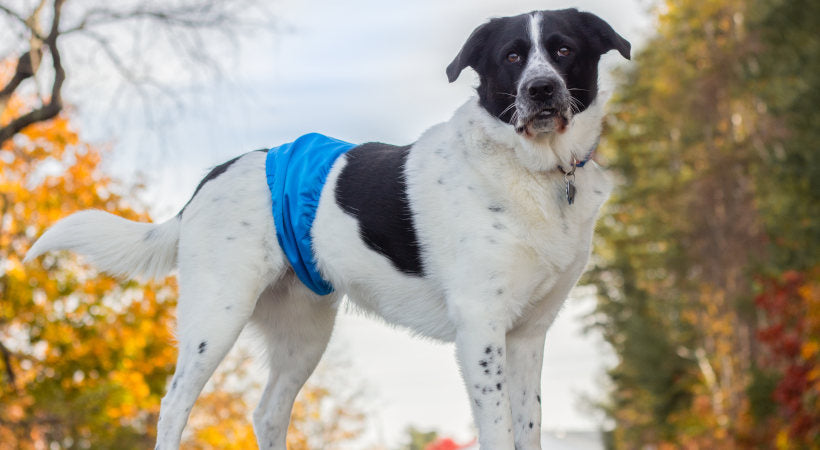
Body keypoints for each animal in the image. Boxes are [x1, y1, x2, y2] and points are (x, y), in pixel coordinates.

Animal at [25, 9, 628, 450]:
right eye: (512, 56)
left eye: (564, 50)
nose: (542, 89)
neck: (538, 172)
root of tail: (211, 176)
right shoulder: (481, 328)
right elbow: (499, 430)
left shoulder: (528, 336)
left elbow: (528, 427)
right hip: (215, 314)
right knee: (174, 404)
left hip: (304, 330)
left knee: (268, 412)